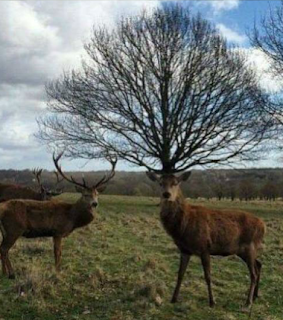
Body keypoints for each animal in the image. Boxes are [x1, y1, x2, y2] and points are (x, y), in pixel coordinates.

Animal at [148, 171, 268, 308]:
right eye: (160, 183)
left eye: (176, 183)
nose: (166, 194)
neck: (183, 226)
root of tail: (264, 226)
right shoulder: (184, 250)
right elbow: (180, 274)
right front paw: (173, 299)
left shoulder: (204, 247)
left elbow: (208, 276)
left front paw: (212, 301)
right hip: (243, 251)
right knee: (259, 264)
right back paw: (255, 296)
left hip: (250, 246)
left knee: (253, 273)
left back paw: (248, 302)